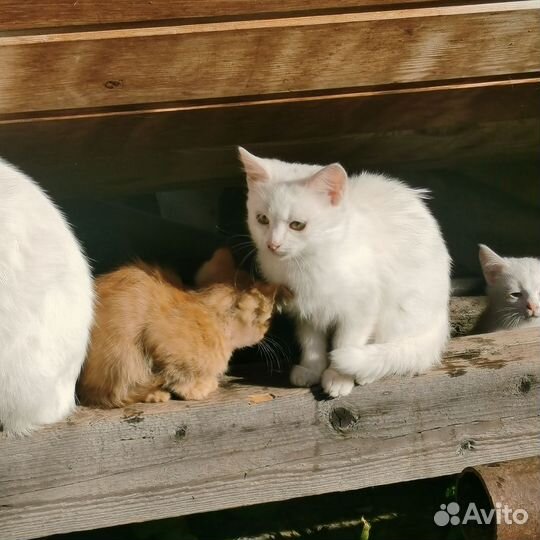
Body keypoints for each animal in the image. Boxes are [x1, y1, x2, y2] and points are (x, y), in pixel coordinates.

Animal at [78, 260, 284, 408]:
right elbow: (179, 375)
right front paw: (198, 388)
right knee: (111, 394)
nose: (264, 334)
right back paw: (154, 393)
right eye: (266, 320)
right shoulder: (160, 341)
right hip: (122, 360)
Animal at [240, 148, 452, 396]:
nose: (272, 245)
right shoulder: (305, 309)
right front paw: (312, 369)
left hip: (401, 309)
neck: (307, 261)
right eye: (262, 219)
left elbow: (346, 342)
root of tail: (441, 316)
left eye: (297, 225)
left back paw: (367, 372)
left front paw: (338, 376)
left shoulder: (362, 307)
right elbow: (311, 342)